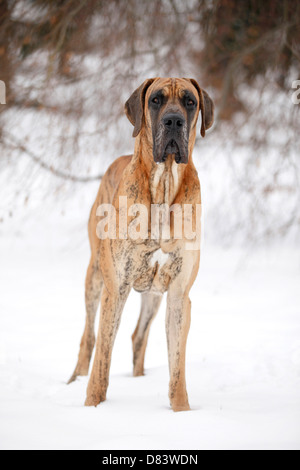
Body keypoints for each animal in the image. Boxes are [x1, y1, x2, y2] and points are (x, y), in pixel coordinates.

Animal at [68, 77, 213, 412]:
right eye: (156, 100)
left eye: (189, 102)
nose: (173, 121)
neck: (164, 183)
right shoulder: (115, 289)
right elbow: (103, 357)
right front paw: (93, 406)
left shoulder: (178, 294)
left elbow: (177, 366)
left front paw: (181, 411)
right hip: (95, 276)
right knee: (89, 338)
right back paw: (76, 379)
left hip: (154, 295)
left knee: (138, 335)